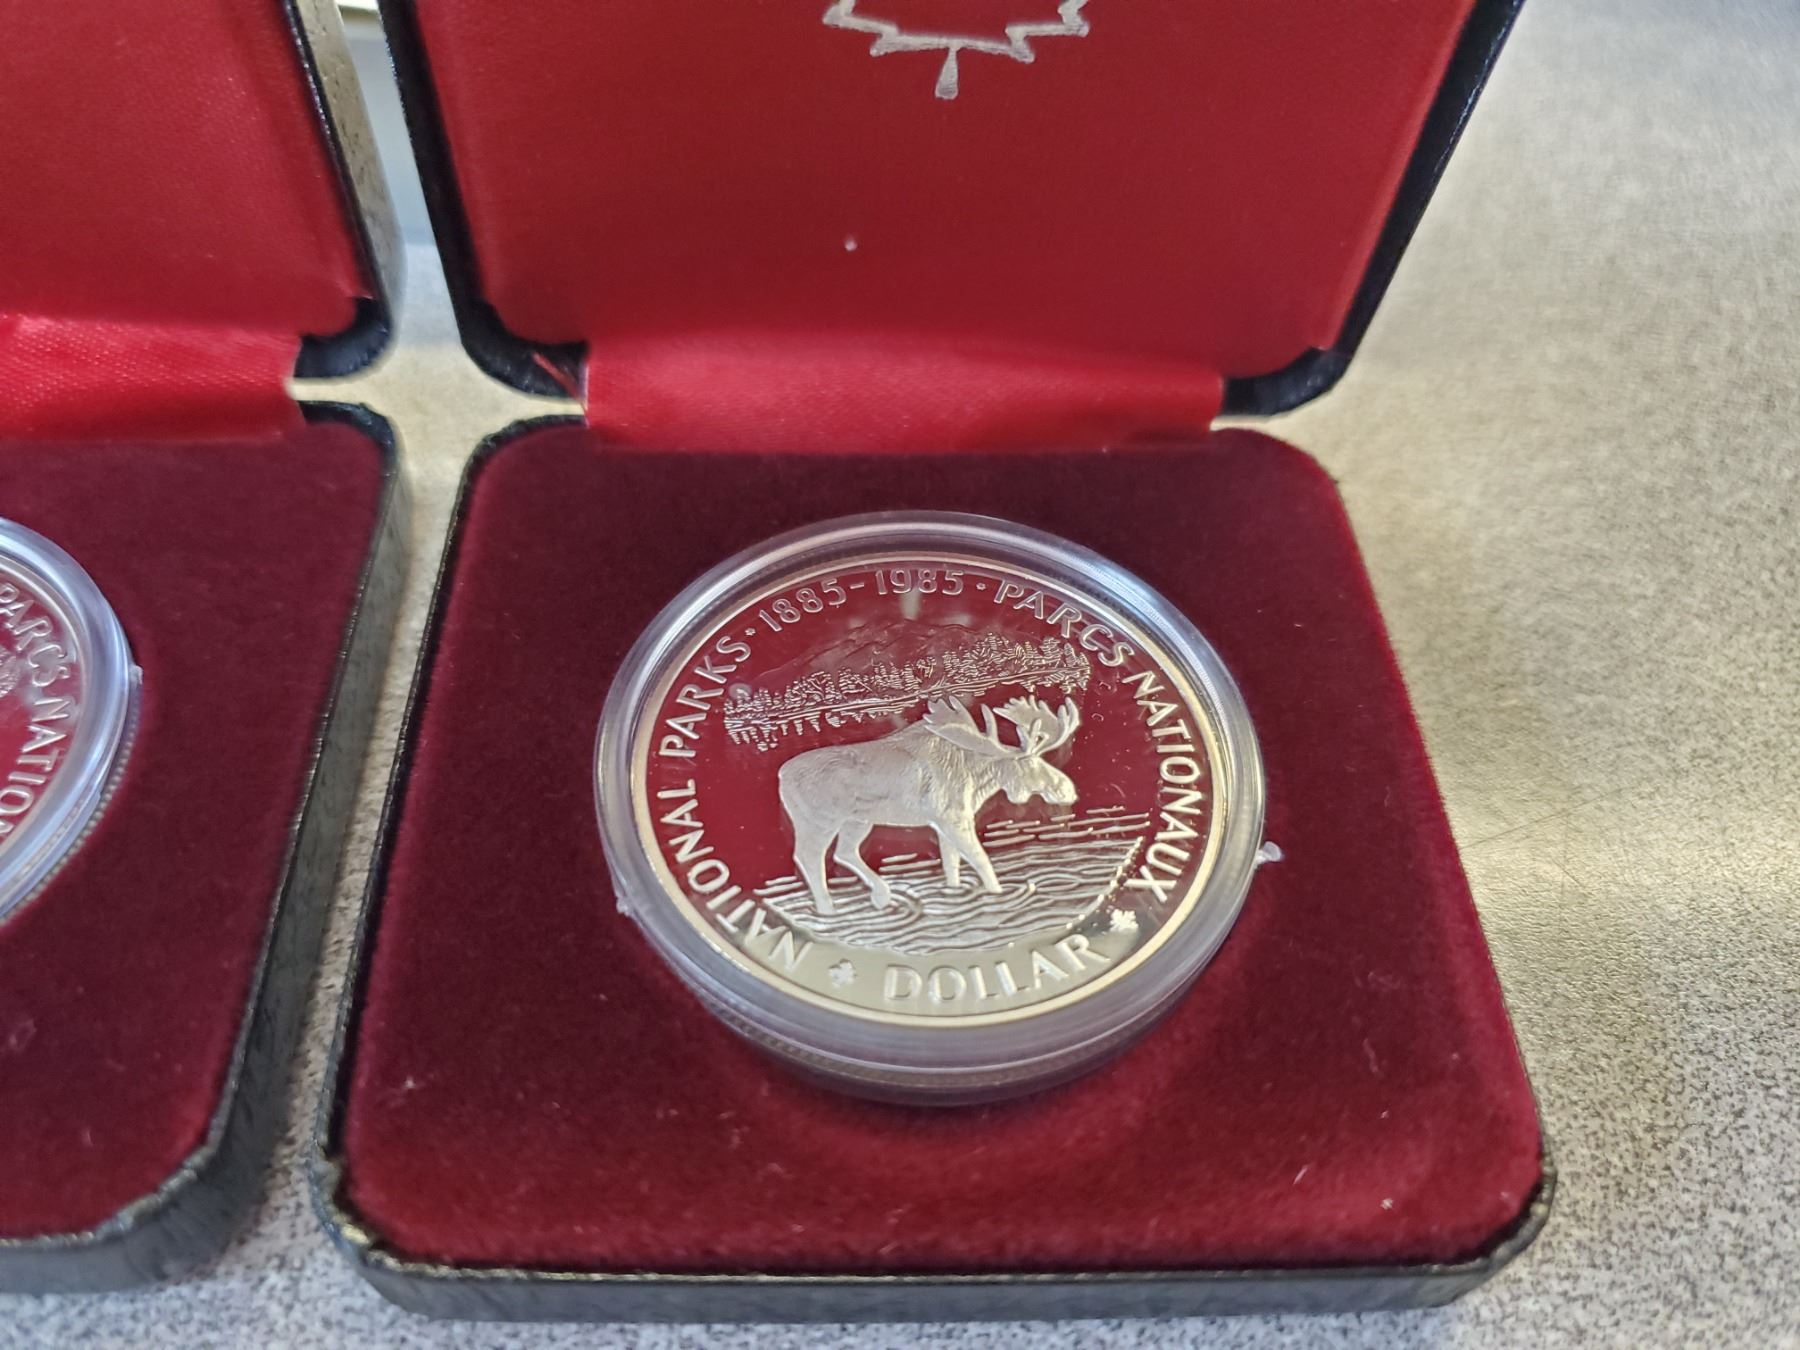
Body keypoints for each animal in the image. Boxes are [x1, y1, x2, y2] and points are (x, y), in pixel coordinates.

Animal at [776, 695, 1081, 915]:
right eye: (1030, 762)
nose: (1067, 789)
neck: (977, 775)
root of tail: (781, 776)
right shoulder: (954, 819)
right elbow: (981, 861)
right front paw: (999, 895)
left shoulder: (945, 821)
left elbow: (952, 864)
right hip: (819, 822)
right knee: (809, 857)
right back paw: (828, 911)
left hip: (858, 821)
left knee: (844, 852)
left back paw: (881, 895)